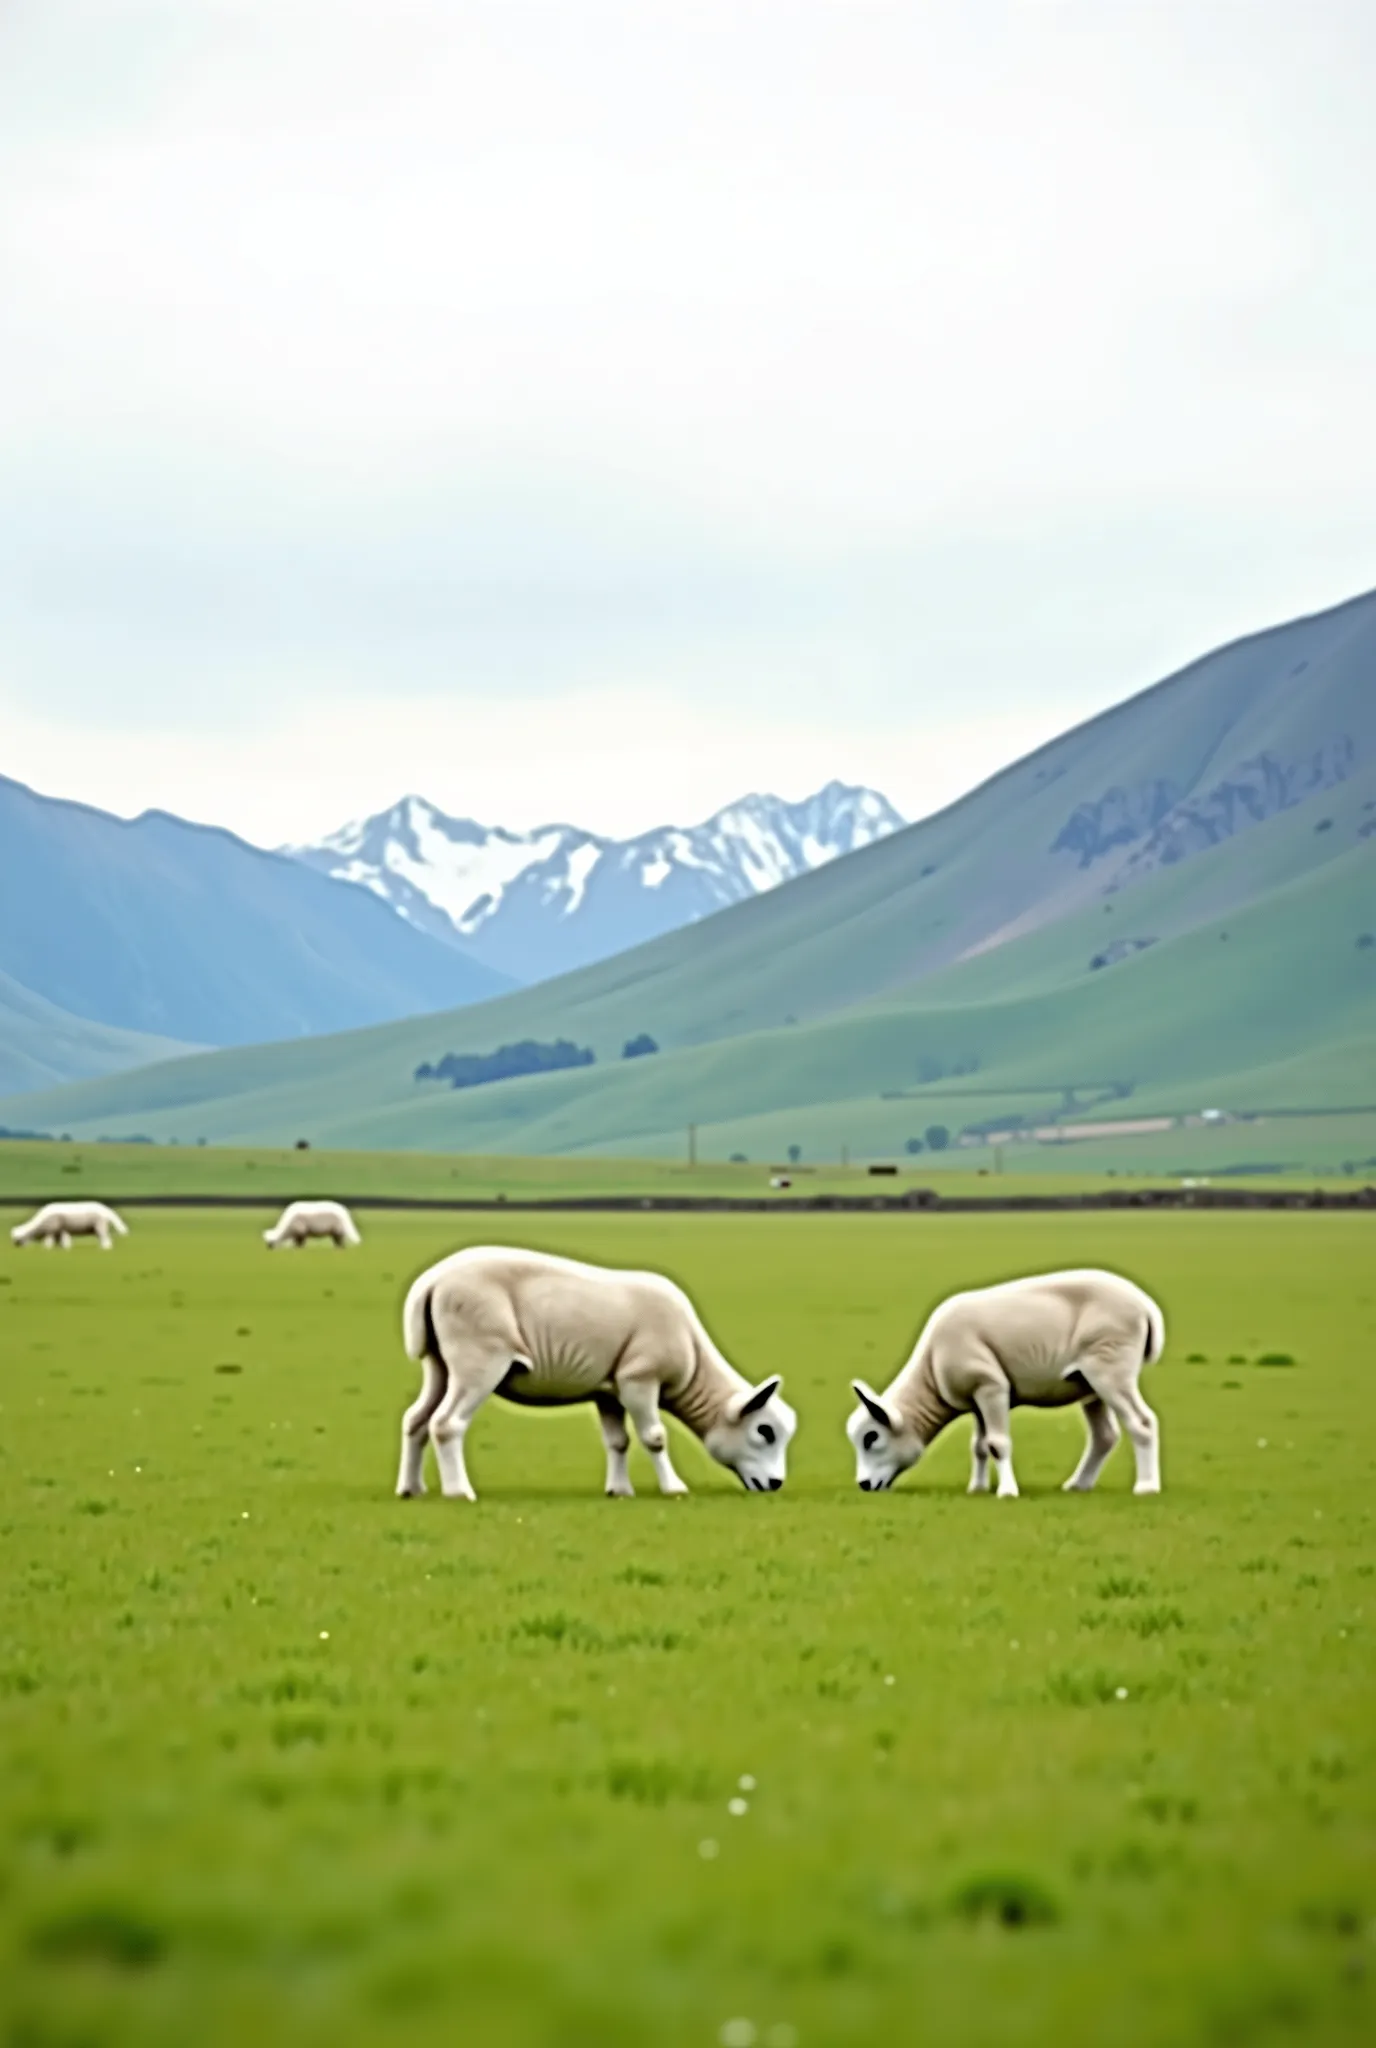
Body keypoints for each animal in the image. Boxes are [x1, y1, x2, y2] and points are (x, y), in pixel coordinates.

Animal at [395, 1228, 794, 1507]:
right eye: (765, 1431)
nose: (776, 1484)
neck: (694, 1360)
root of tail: (432, 1282)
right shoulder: (639, 1379)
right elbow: (654, 1437)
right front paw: (674, 1487)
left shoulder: (610, 1392)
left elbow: (618, 1442)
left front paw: (619, 1490)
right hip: (479, 1358)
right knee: (446, 1424)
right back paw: (459, 1492)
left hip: (440, 1364)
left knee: (416, 1420)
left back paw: (411, 1488)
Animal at [847, 1261, 1163, 1507]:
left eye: (871, 1437)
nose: (863, 1484)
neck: (931, 1371)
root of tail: (1146, 1307)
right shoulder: (976, 1399)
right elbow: (979, 1446)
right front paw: (977, 1488)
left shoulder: (991, 1387)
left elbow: (998, 1444)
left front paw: (1007, 1492)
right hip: (1088, 1384)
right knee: (1104, 1436)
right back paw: (1078, 1484)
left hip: (1110, 1370)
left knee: (1142, 1423)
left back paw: (1147, 1487)